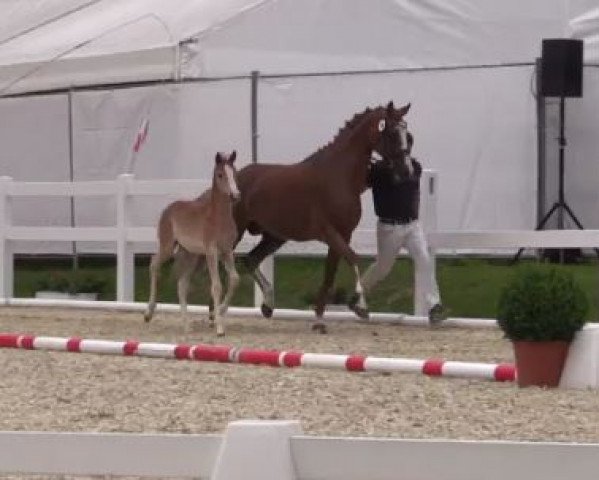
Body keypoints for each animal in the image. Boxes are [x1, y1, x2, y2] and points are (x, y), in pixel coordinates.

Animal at [144, 152, 240, 336]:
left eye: (235, 173)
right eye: (220, 174)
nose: (235, 195)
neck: (218, 218)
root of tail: (169, 208)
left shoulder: (227, 251)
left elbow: (234, 279)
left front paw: (220, 313)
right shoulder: (211, 251)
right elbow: (216, 286)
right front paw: (219, 328)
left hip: (191, 255)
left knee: (182, 284)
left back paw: (186, 325)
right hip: (168, 246)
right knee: (154, 264)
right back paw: (148, 313)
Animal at [234, 101, 412, 334]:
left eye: (408, 134)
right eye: (391, 133)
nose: (407, 171)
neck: (339, 175)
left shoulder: (343, 235)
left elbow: (330, 275)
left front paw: (319, 319)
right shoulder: (330, 233)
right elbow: (353, 258)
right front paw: (360, 307)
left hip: (275, 237)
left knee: (250, 259)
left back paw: (267, 306)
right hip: (236, 232)